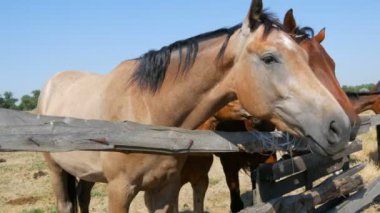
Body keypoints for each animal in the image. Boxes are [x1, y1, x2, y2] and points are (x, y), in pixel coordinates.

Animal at [35, 0, 354, 212]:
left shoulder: (163, 189)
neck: (147, 115)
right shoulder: (120, 191)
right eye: (269, 58)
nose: (340, 125)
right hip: (56, 170)